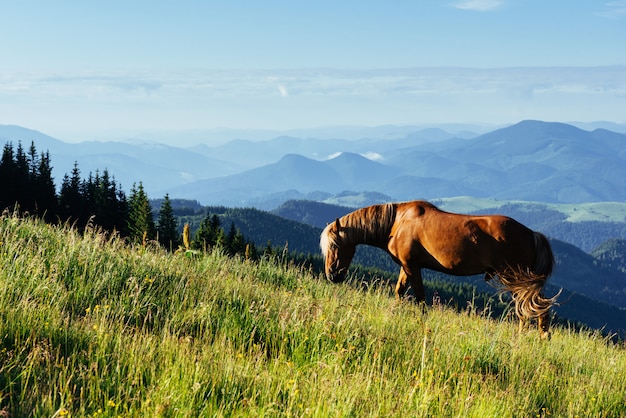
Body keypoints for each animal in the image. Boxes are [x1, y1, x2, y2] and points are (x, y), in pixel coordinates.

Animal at [320, 200, 560, 340]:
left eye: (334, 245)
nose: (332, 275)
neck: (397, 222)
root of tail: (531, 234)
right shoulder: (407, 267)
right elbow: (400, 291)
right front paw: (395, 313)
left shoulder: (412, 266)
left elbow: (420, 297)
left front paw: (422, 322)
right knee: (528, 308)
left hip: (515, 277)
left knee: (534, 307)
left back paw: (538, 338)